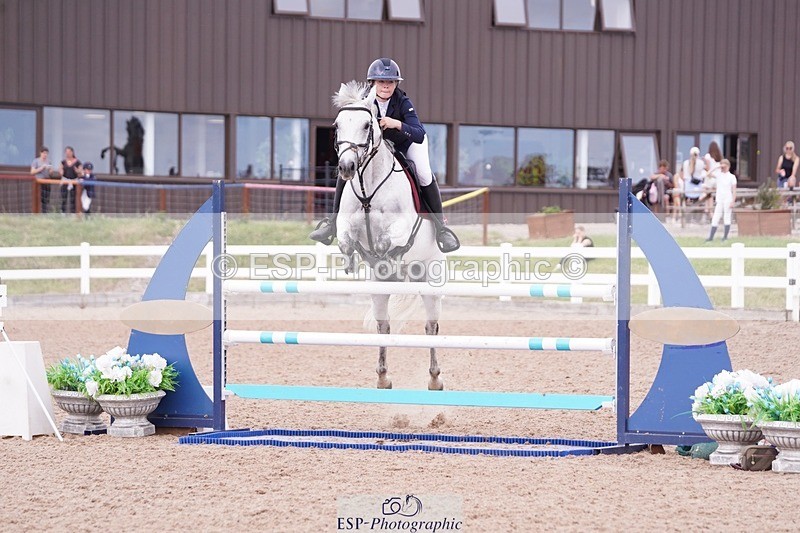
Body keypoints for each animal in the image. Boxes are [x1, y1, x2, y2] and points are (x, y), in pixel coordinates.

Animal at [332, 80, 445, 391]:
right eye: (337, 126)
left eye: (367, 125)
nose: (346, 167)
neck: (369, 186)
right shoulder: (346, 224)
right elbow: (346, 239)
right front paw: (351, 259)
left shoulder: (402, 228)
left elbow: (392, 240)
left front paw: (385, 251)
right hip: (378, 290)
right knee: (384, 325)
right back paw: (383, 377)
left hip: (430, 277)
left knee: (431, 326)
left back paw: (435, 379)